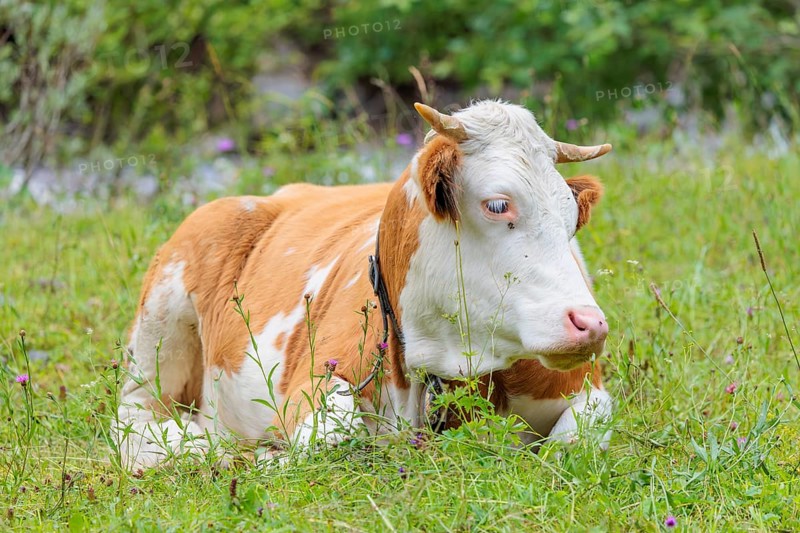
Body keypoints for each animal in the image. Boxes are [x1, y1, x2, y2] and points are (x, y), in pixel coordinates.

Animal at [115, 100, 613, 469]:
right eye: (497, 204)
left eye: (571, 217)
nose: (589, 324)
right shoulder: (312, 380)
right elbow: (332, 434)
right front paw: (262, 453)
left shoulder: (586, 388)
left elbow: (577, 439)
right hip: (158, 328)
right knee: (135, 417)